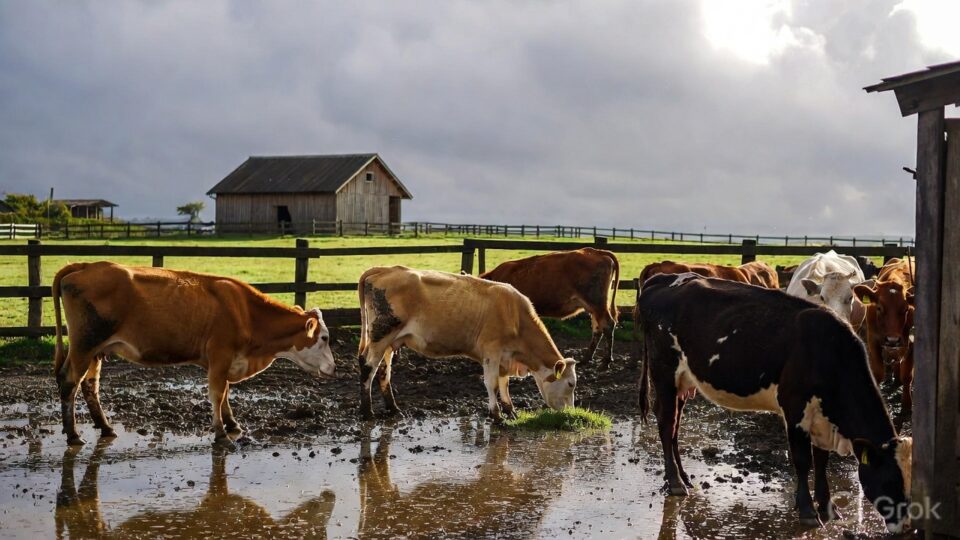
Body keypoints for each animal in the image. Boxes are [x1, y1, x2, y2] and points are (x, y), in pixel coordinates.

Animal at [52, 262, 336, 447]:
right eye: (324, 338)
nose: (334, 368)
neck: (246, 312)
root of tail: (87, 265)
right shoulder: (220, 355)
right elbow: (217, 393)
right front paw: (221, 434)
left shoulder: (224, 361)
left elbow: (225, 393)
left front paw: (232, 424)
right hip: (83, 346)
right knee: (70, 382)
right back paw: (73, 434)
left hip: (95, 351)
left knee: (90, 386)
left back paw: (106, 428)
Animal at [357, 266, 577, 421]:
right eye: (571, 384)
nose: (570, 412)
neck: (514, 315)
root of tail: (386, 269)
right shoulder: (492, 351)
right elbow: (492, 383)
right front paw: (496, 416)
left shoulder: (505, 356)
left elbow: (504, 383)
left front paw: (510, 411)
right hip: (380, 337)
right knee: (368, 367)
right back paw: (367, 413)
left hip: (390, 341)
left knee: (384, 372)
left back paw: (394, 409)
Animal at [478, 248, 620, 365]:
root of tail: (595, 251)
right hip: (594, 307)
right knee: (598, 328)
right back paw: (586, 359)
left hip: (596, 303)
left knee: (607, 325)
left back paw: (606, 360)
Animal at [636, 273, 912, 532]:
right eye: (890, 481)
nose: (907, 525)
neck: (829, 352)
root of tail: (664, 278)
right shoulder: (795, 408)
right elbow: (803, 460)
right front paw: (808, 511)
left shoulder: (822, 418)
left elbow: (821, 460)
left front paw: (828, 507)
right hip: (664, 372)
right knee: (666, 424)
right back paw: (675, 482)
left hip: (684, 382)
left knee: (675, 425)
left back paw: (683, 476)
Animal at [854, 257, 915, 409]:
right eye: (879, 308)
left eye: (906, 309)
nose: (892, 340)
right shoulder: (872, 339)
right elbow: (877, 373)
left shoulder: (912, 342)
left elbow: (907, 376)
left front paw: (907, 404)